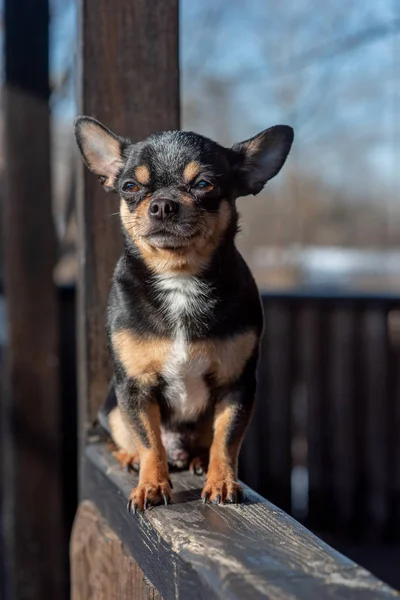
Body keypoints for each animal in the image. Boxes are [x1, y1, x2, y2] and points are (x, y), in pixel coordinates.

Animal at [76, 117, 294, 510]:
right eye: (130, 186)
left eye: (204, 184)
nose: (163, 205)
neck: (180, 277)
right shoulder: (135, 389)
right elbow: (149, 442)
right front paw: (151, 484)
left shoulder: (236, 387)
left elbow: (226, 441)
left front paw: (221, 481)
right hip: (113, 406)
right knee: (128, 440)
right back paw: (131, 458)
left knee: (206, 444)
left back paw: (197, 461)